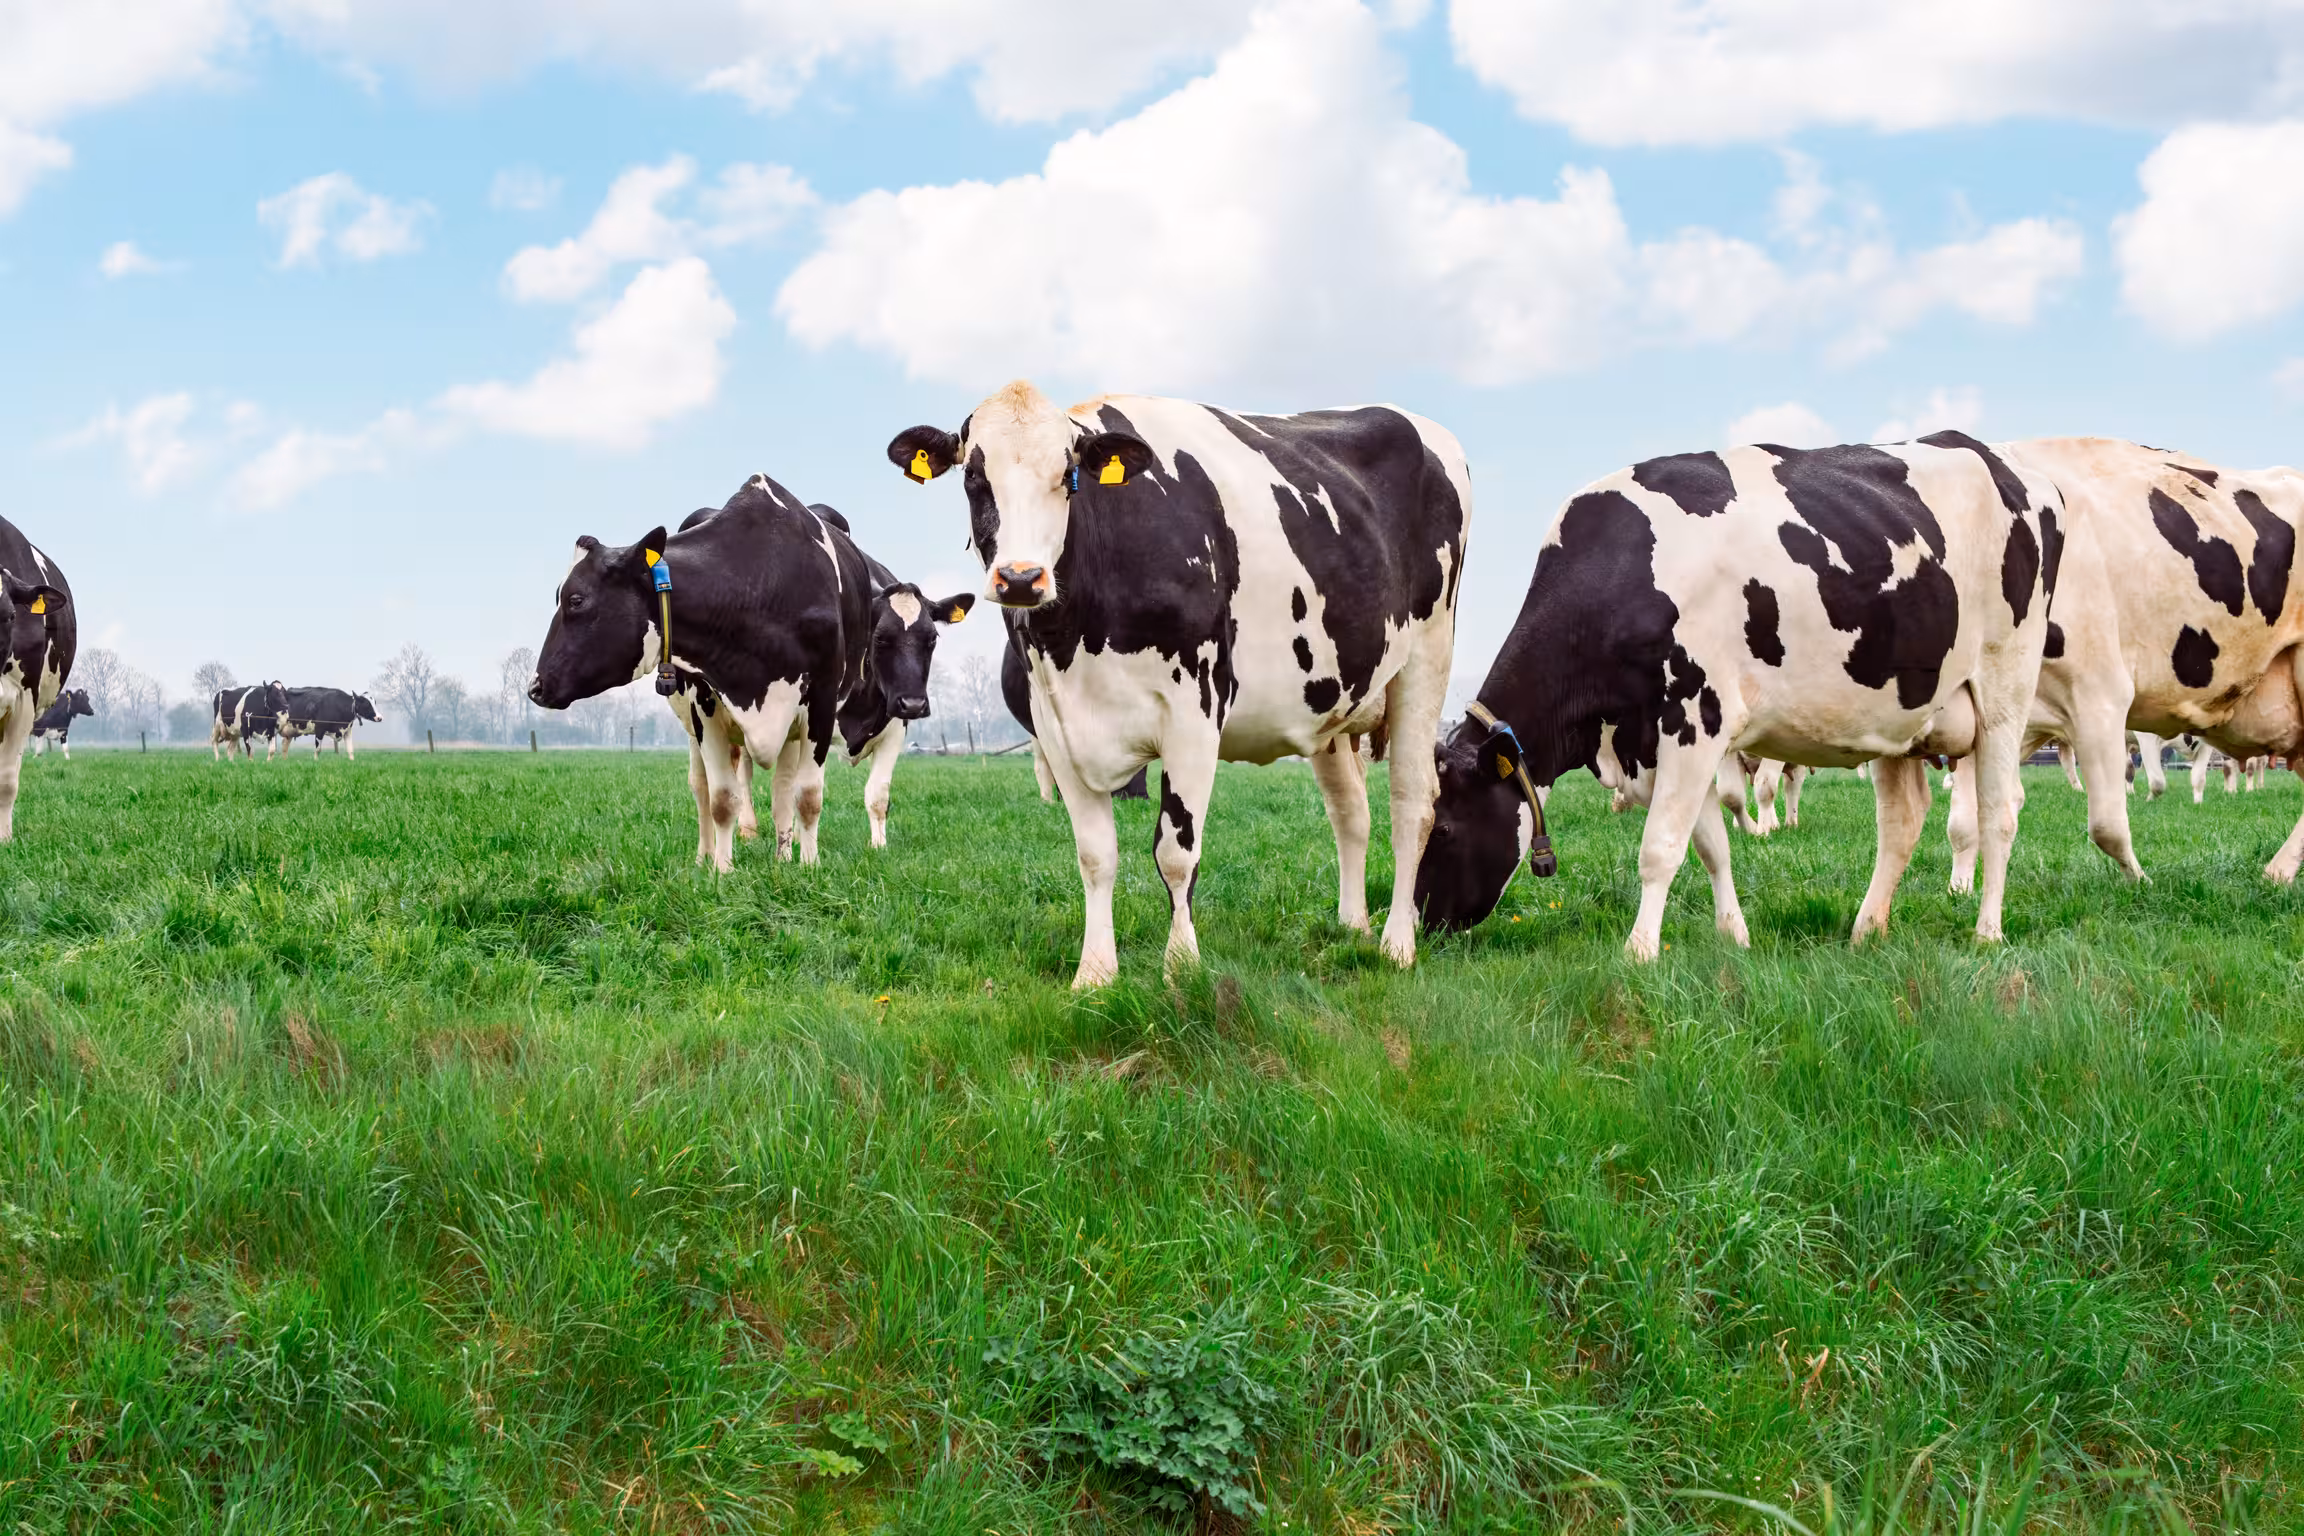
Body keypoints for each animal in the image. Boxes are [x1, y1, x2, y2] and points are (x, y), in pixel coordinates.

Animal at [531, 475, 933, 871]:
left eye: (576, 600)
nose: (536, 686)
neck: (760, 585)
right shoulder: (703, 702)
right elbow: (722, 798)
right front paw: (721, 871)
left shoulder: (821, 701)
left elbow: (807, 796)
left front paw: (808, 866)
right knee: (702, 786)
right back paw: (705, 856)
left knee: (782, 789)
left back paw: (784, 854)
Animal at [889, 380, 1470, 986]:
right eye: (974, 478)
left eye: (1068, 474)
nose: (1022, 579)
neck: (1076, 640)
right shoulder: (1055, 727)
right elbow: (1095, 853)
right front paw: (1094, 973)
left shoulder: (1195, 711)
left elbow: (1175, 853)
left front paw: (1182, 967)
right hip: (1331, 701)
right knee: (1350, 811)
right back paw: (1352, 928)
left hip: (1427, 662)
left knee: (1413, 805)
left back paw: (1396, 944)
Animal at [1415, 433, 2058, 960]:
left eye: (1442, 829)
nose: (1425, 920)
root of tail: (1996, 458)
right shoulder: (1666, 739)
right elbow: (1710, 846)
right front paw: (1735, 936)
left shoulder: (1694, 717)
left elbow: (1660, 848)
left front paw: (1638, 953)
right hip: (1904, 717)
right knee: (1901, 823)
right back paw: (1866, 930)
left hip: (2004, 690)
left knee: (1999, 812)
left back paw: (1987, 931)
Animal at [1943, 439, 2304, 889]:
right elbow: (1964, 821)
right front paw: (1958, 889)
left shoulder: (2101, 696)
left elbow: (2108, 823)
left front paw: (2142, 883)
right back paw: (2278, 871)